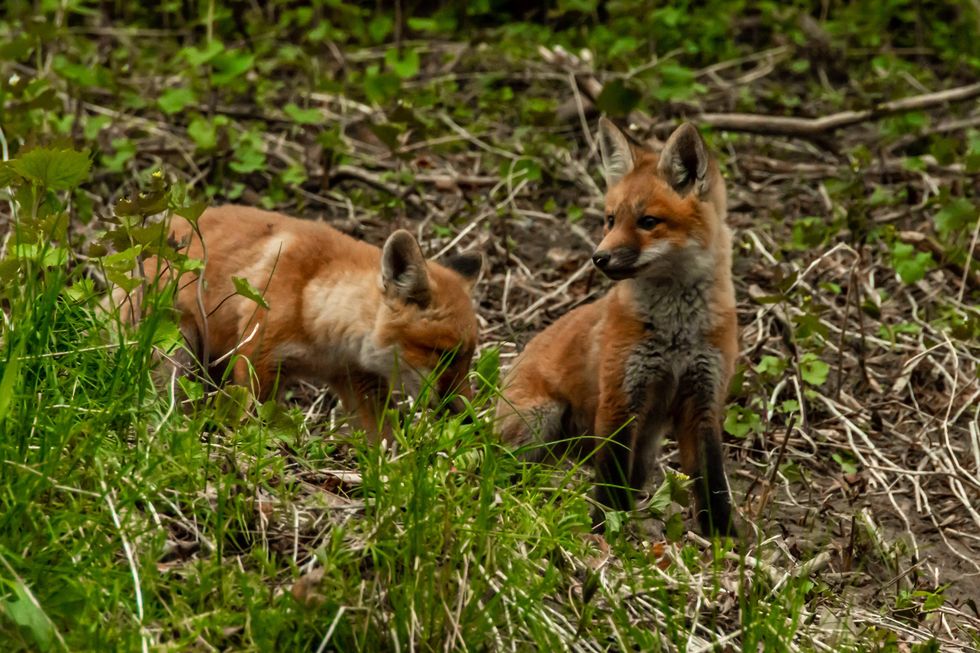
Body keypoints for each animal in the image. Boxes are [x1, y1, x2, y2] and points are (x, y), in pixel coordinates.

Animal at [112, 205, 483, 440]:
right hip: (177, 349)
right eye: (445, 354)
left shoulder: (357, 380)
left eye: (468, 358)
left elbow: (382, 440)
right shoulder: (257, 359)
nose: (468, 417)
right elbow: (252, 421)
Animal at [496, 119, 737, 536]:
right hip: (541, 418)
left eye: (648, 222)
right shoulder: (619, 396)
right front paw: (608, 534)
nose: (599, 257)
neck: (677, 333)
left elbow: (714, 483)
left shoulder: (704, 401)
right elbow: (609, 481)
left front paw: (725, 541)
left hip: (644, 448)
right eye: (611, 219)